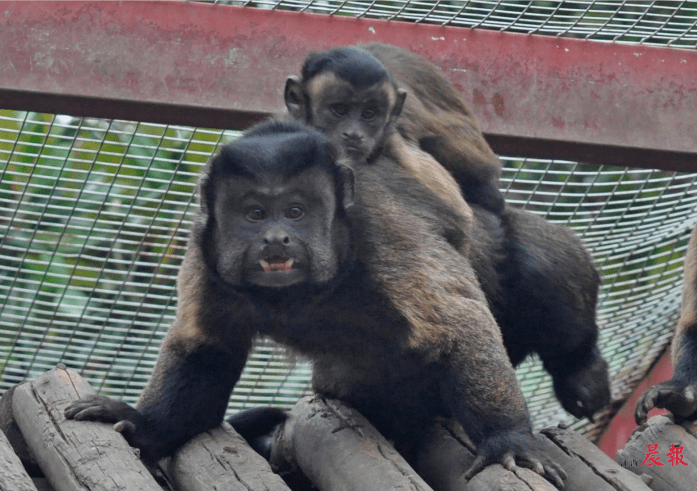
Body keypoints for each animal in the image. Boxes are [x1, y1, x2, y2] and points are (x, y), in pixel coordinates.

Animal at [64, 121, 564, 490]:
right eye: (254, 214)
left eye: (296, 212)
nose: (276, 238)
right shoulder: (203, 248)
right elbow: (206, 347)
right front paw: (145, 425)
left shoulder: (379, 227)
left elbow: (459, 324)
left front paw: (508, 440)